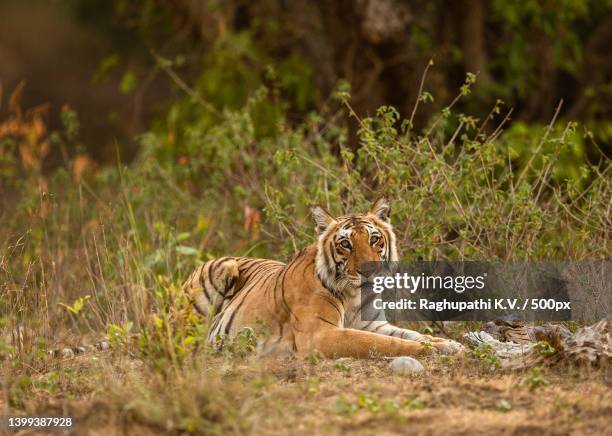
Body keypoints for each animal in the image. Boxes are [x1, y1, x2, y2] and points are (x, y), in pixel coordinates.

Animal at [184, 199, 462, 360]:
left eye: (374, 239)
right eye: (345, 244)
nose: (369, 271)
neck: (354, 294)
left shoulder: (374, 325)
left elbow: (410, 334)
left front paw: (449, 344)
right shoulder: (320, 333)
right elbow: (384, 343)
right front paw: (433, 350)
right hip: (220, 274)